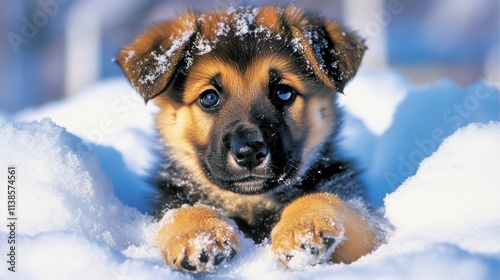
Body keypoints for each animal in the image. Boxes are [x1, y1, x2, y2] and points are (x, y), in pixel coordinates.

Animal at [116, 4, 376, 272]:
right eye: (209, 98)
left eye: (283, 92)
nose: (249, 152)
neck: (250, 203)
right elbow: (179, 211)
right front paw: (199, 234)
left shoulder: (366, 222)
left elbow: (334, 201)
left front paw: (304, 225)